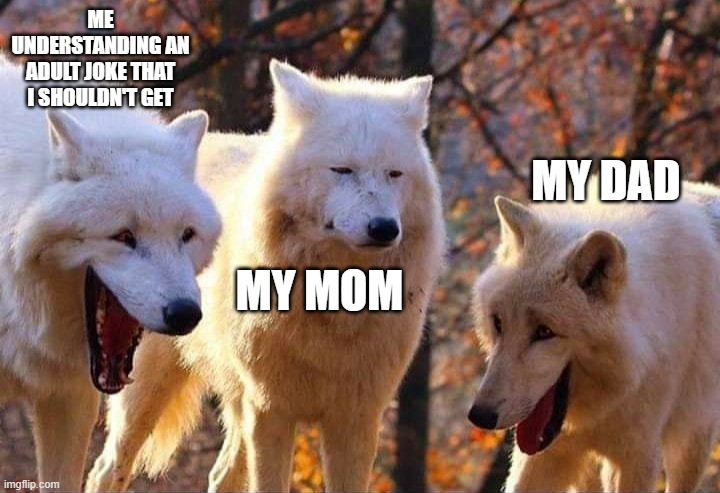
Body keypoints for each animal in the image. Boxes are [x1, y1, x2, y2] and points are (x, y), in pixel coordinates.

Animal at [86, 60, 445, 492]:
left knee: (221, 474)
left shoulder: (357, 418)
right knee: (107, 469)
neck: (333, 300)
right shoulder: (271, 409)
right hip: (148, 388)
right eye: (342, 170)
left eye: (395, 174)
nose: (384, 228)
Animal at [468, 187, 720, 492]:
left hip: (691, 442)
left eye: (544, 332)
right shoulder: (547, 452)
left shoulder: (638, 456)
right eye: (498, 323)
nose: (480, 416)